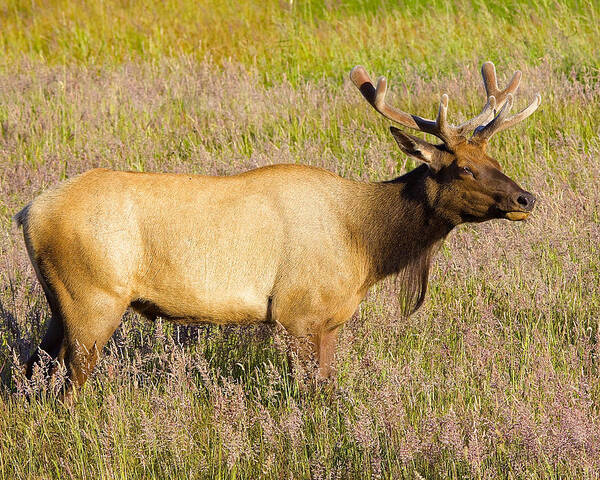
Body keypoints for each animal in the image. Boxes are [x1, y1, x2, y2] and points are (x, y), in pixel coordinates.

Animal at [15, 62, 540, 396]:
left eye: (495, 160)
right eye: (465, 169)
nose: (526, 199)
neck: (366, 245)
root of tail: (27, 212)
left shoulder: (329, 320)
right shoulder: (296, 311)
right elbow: (310, 395)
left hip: (61, 304)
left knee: (30, 370)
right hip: (93, 298)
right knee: (66, 387)